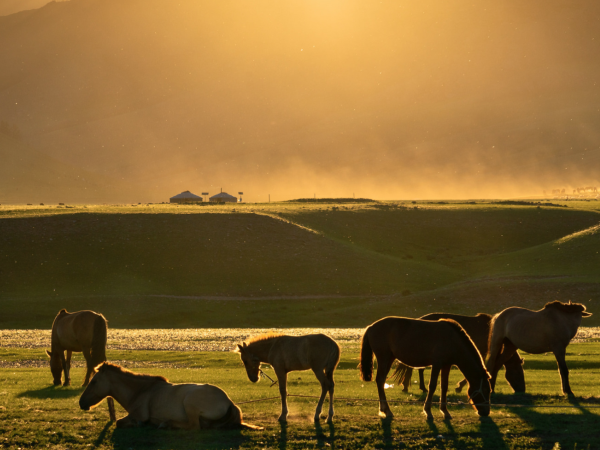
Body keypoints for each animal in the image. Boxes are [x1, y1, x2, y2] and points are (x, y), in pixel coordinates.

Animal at [78, 362, 262, 428]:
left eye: (94, 382)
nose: (81, 403)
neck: (141, 391)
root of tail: (229, 401)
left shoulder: (138, 415)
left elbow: (121, 422)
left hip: (190, 403)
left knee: (193, 426)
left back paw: (166, 424)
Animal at [358, 318, 490, 420]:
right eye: (486, 390)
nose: (486, 412)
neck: (452, 339)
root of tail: (371, 327)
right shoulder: (437, 364)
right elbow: (432, 386)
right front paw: (428, 411)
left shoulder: (446, 366)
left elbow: (444, 387)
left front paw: (445, 411)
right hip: (384, 358)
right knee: (380, 380)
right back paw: (387, 410)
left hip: (389, 359)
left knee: (380, 381)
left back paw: (385, 409)